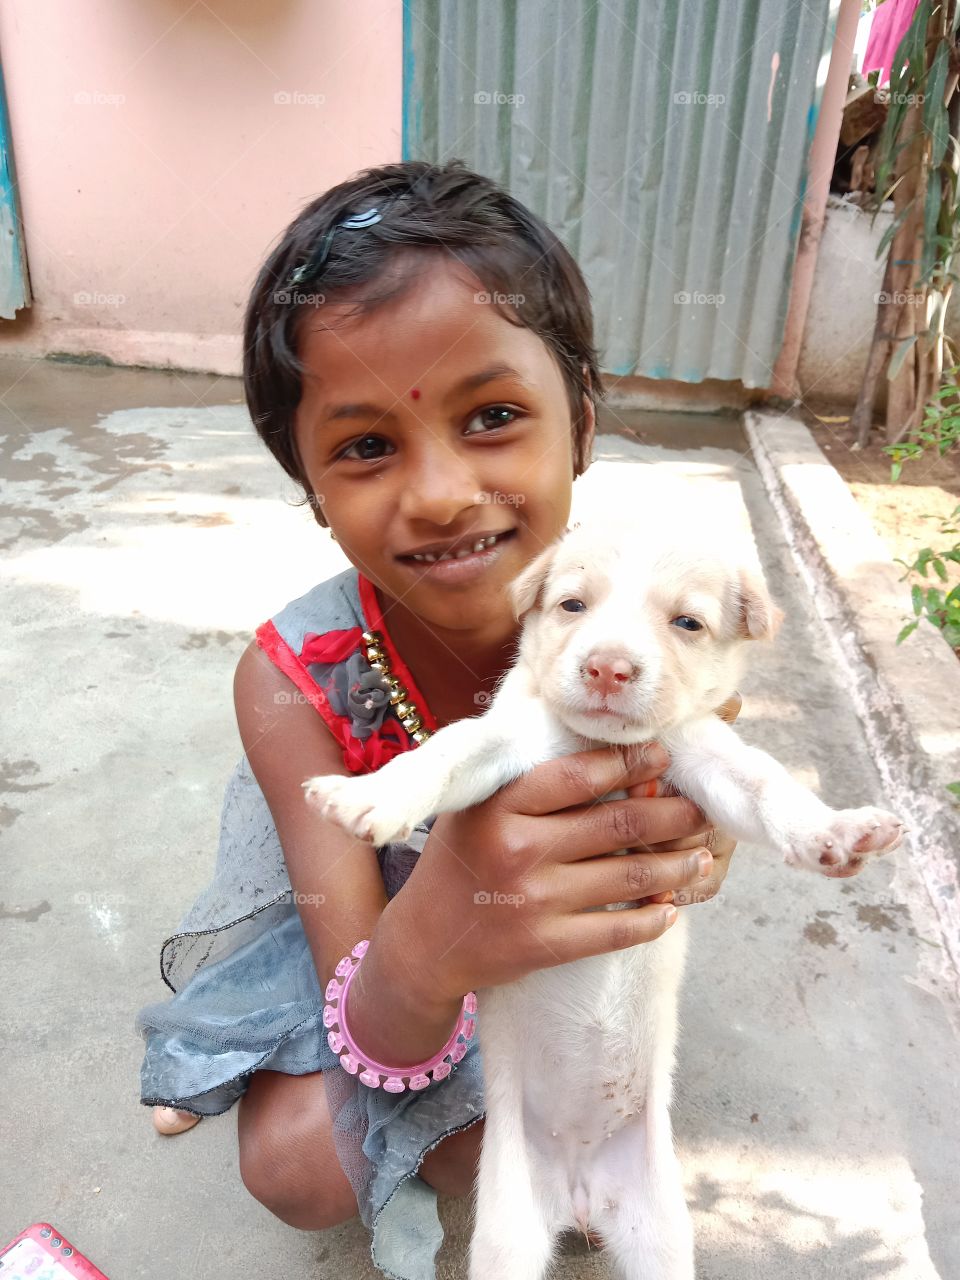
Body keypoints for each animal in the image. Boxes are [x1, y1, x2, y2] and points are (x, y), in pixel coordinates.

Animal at [304, 512, 906, 1280]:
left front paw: (836, 832)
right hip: (506, 1234)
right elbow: (450, 747)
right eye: (572, 605)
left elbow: (768, 785)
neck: (599, 746)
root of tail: (580, 1188)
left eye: (687, 622)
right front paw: (373, 796)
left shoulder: (704, 757)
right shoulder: (512, 741)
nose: (608, 668)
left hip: (661, 1236)